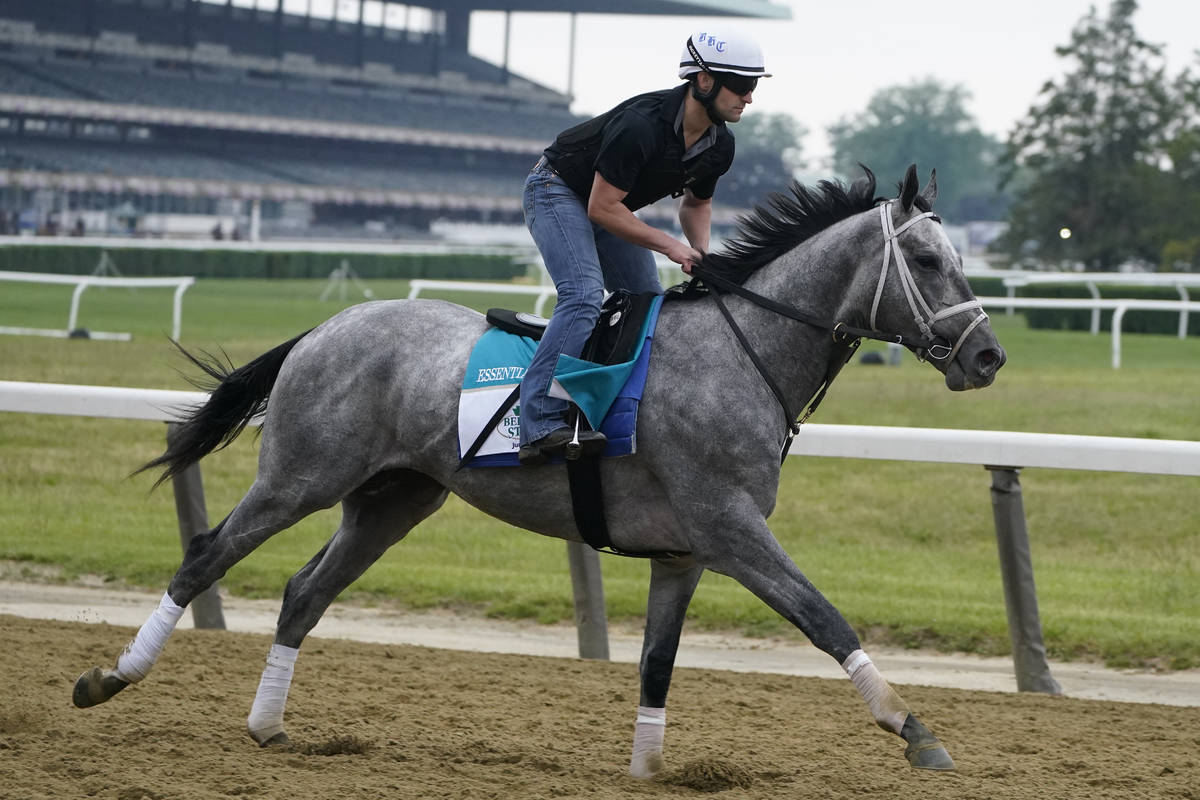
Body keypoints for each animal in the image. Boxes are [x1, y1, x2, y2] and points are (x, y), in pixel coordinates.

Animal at [72, 167, 1003, 777]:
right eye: (927, 260)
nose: (987, 356)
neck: (743, 351)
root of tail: (321, 329)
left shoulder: (687, 552)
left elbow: (658, 660)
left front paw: (646, 768)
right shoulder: (731, 527)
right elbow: (824, 616)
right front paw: (912, 726)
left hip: (392, 498)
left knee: (304, 592)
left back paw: (267, 726)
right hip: (301, 476)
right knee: (206, 555)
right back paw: (109, 679)